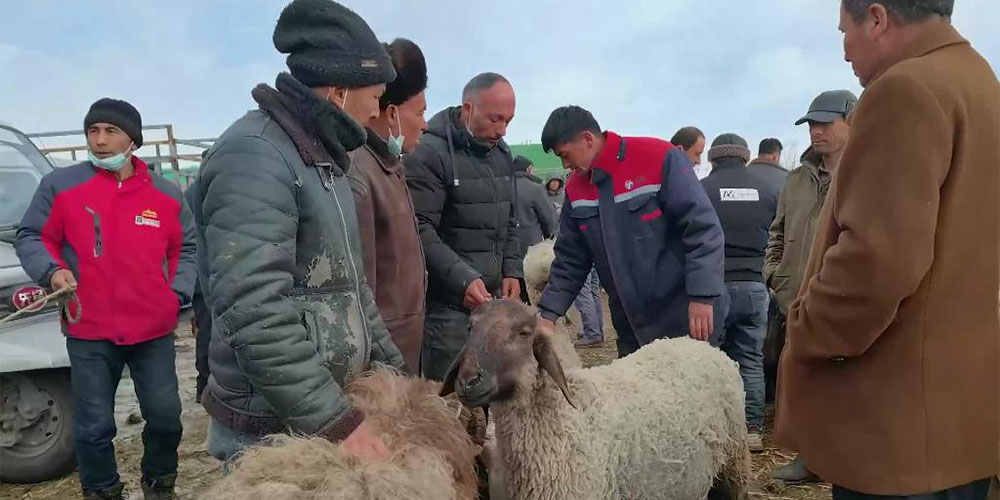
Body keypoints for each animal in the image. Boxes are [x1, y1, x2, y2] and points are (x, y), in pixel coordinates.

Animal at [444, 298, 752, 500]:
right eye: (471, 328)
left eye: (523, 332)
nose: (468, 381)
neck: (560, 419)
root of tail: (697, 344)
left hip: (734, 461)